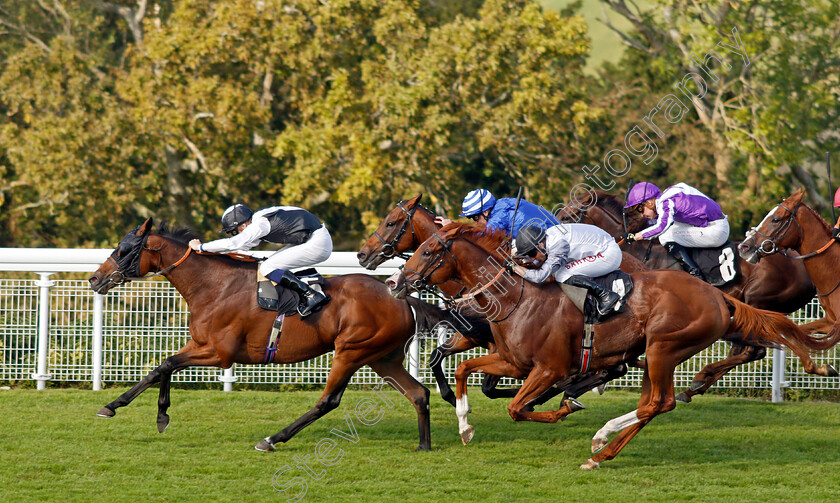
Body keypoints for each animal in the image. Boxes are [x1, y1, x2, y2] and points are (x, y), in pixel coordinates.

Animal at [90, 219, 480, 450]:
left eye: (124, 250)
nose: (95, 279)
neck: (213, 286)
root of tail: (401, 297)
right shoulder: (201, 344)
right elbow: (164, 367)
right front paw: (143, 412)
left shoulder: (220, 352)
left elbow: (166, 365)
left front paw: (127, 409)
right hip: (382, 357)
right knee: (418, 394)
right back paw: (424, 445)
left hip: (351, 351)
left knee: (328, 401)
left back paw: (273, 438)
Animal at [358, 195, 648, 412]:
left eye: (391, 223)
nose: (362, 254)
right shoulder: (474, 335)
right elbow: (436, 356)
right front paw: (452, 397)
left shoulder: (496, 342)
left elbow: (490, 385)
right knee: (614, 367)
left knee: (614, 366)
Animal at [556, 191, 820, 404]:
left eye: (568, 217)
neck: (638, 253)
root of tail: (803, 265)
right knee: (745, 351)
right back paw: (694, 387)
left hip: (757, 301)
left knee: (751, 351)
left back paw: (697, 381)